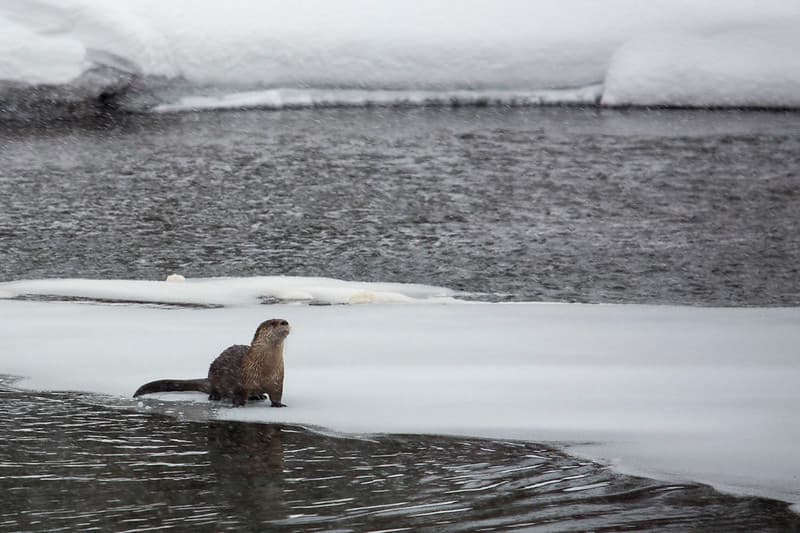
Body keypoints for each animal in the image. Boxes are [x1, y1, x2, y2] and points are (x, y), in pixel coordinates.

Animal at [134, 319, 290, 407]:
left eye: (284, 320)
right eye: (273, 323)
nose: (285, 322)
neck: (265, 369)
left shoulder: (277, 380)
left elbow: (277, 395)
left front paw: (279, 405)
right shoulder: (241, 381)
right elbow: (239, 394)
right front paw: (238, 404)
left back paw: (258, 396)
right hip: (214, 372)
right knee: (215, 388)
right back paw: (215, 396)